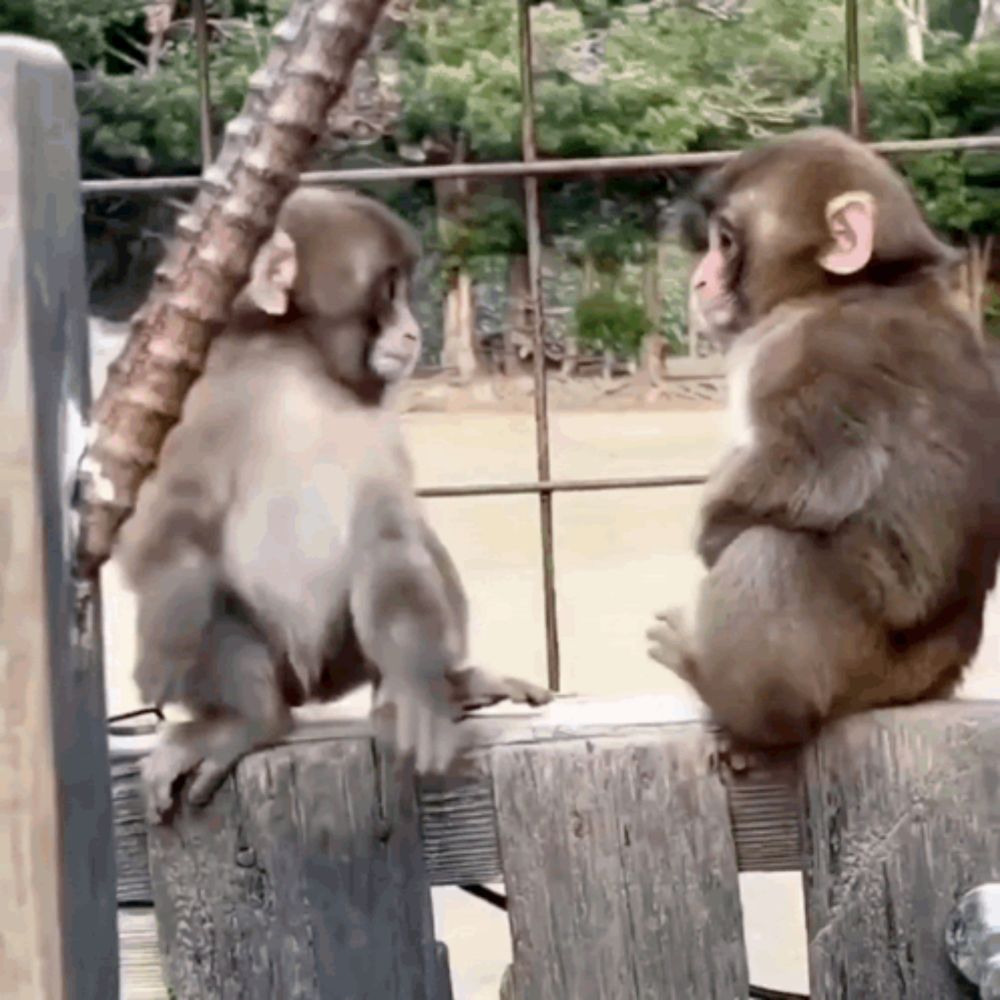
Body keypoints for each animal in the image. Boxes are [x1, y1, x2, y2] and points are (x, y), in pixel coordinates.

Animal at [117, 188, 556, 820]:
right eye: (389, 289)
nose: (412, 331)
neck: (292, 361)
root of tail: (309, 684)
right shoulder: (197, 403)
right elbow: (164, 537)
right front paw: (164, 647)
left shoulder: (375, 422)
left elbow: (388, 534)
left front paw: (418, 687)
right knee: (206, 589)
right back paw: (247, 719)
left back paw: (426, 688)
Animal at [648, 125, 1000, 748]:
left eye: (725, 242)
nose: (699, 279)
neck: (845, 288)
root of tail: (928, 678)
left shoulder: (815, 354)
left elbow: (813, 474)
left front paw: (712, 533)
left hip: (854, 661)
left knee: (773, 547)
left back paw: (728, 693)